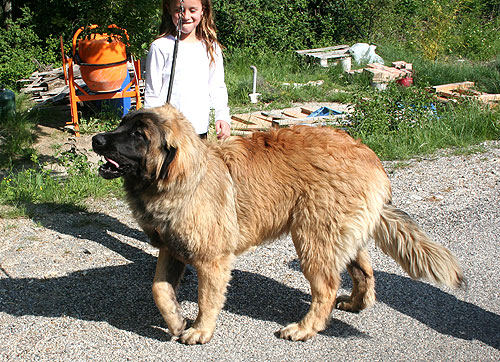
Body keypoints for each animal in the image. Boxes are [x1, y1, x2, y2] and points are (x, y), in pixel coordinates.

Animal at [92, 104, 462, 346]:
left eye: (138, 135)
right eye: (122, 123)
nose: (96, 140)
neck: (183, 179)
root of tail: (369, 157)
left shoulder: (212, 259)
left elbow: (207, 298)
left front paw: (199, 330)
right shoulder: (171, 249)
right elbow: (159, 290)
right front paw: (176, 320)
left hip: (312, 238)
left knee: (326, 288)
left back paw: (304, 328)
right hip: (338, 234)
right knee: (364, 271)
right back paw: (356, 303)